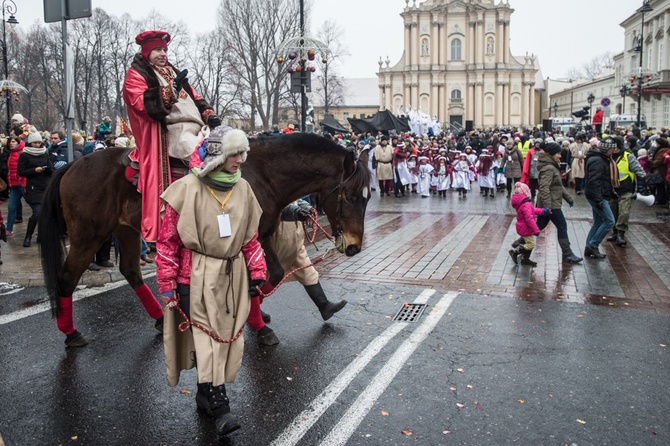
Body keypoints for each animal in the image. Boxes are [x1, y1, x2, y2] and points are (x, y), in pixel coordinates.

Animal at [39, 133, 372, 348]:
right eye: (349, 196)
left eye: (366, 197)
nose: (354, 247)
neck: (263, 175)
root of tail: (72, 165)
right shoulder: (246, 239)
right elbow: (257, 280)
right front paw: (259, 326)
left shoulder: (262, 235)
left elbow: (273, 275)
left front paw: (256, 317)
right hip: (88, 237)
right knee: (66, 278)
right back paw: (71, 334)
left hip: (127, 230)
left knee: (131, 272)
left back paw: (159, 319)